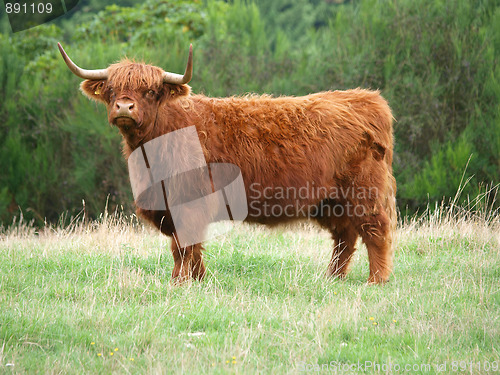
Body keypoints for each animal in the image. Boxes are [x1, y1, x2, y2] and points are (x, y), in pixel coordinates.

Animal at [58, 43, 396, 284]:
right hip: (330, 201)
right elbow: (183, 247)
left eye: (150, 91)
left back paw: (376, 280)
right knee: (344, 237)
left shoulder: (188, 202)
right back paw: (332, 278)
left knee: (374, 230)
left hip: (363, 192)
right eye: (111, 89)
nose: (124, 107)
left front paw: (181, 282)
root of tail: (364, 99)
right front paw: (195, 278)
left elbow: (184, 245)